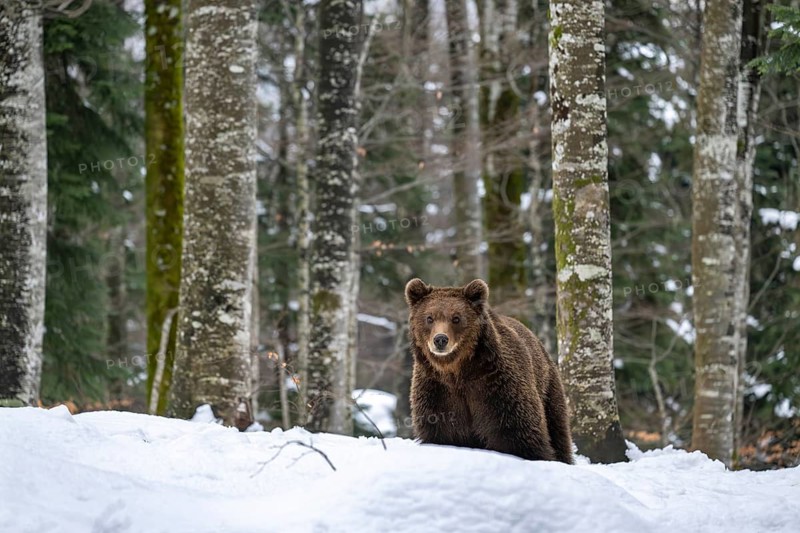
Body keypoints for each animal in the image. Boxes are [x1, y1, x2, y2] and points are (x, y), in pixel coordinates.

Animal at [405, 278, 573, 464]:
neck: (456, 370)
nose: (440, 339)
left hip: (548, 387)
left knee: (557, 429)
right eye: (429, 318)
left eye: (456, 318)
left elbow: (520, 432)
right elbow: (441, 430)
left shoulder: (496, 383)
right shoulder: (437, 390)